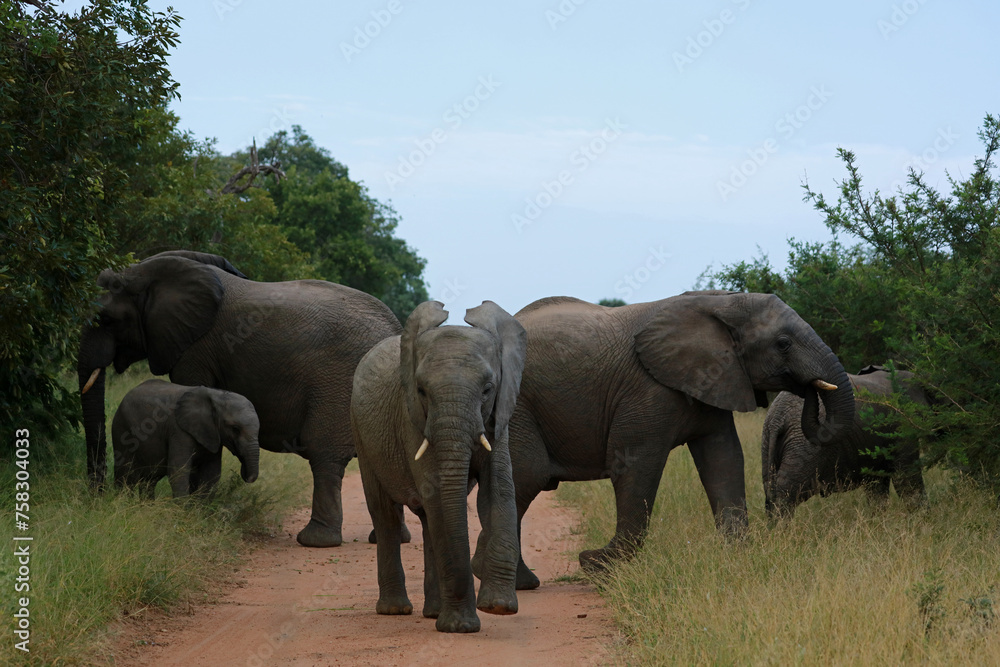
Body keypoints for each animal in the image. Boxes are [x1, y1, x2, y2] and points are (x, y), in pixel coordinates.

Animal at [112, 379, 260, 498]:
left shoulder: (212, 433)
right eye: (235, 428)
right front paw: (181, 512)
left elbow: (212, 473)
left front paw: (201, 512)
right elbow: (179, 471)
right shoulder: (178, 430)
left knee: (149, 480)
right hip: (121, 429)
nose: (245, 474)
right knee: (126, 476)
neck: (217, 395)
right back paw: (125, 503)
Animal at [351, 301, 526, 633]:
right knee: (386, 514)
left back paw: (432, 612)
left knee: (428, 519)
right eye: (421, 391)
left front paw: (498, 607)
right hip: (363, 437)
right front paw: (460, 626)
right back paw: (395, 610)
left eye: (488, 389)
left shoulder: (499, 415)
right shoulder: (412, 418)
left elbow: (499, 489)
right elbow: (436, 494)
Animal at [474, 291, 855, 586]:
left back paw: (514, 581)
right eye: (783, 344)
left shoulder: (714, 378)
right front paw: (598, 565)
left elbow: (724, 460)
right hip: (515, 406)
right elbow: (636, 466)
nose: (809, 390)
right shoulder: (647, 390)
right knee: (527, 476)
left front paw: (737, 559)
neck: (722, 302)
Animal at [761, 365, 928, 517]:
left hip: (769, 441)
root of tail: (777, 417)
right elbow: (906, 478)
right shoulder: (901, 426)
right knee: (786, 494)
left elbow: (877, 485)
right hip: (804, 446)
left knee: (771, 490)